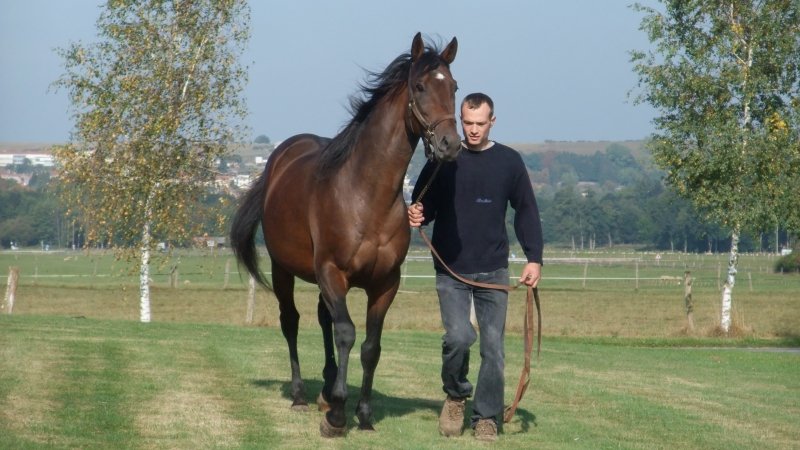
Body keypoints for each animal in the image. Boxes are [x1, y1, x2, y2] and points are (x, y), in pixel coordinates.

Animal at [230, 32, 459, 437]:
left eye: (455, 87)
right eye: (420, 86)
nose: (451, 144)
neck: (366, 195)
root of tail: (279, 159)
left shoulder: (385, 283)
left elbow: (370, 346)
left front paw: (363, 415)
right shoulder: (333, 273)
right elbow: (347, 333)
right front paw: (337, 415)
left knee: (325, 320)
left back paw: (325, 388)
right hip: (284, 270)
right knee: (292, 322)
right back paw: (301, 395)